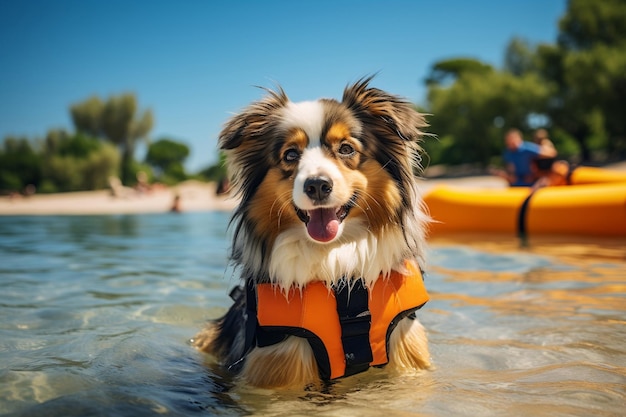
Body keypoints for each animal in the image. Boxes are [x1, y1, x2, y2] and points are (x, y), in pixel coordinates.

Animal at [193, 77, 432, 386]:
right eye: (291, 154)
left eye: (346, 149)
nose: (317, 185)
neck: (335, 259)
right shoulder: (279, 362)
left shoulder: (405, 351)